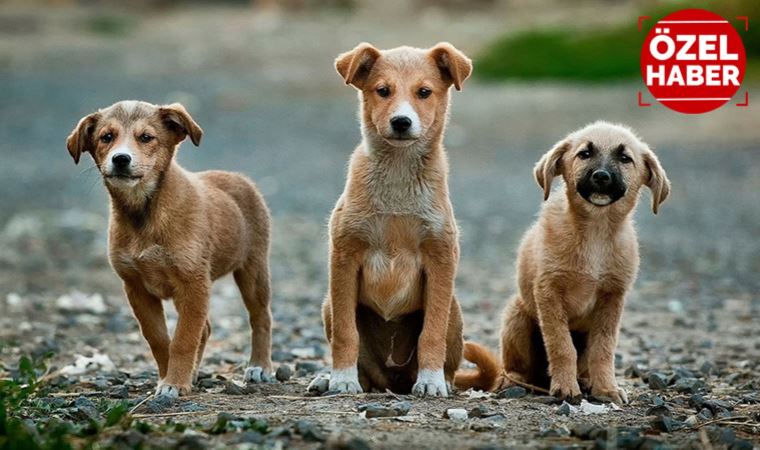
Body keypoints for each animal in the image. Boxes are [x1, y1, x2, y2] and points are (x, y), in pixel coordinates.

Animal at [66, 101, 274, 398]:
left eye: (146, 137)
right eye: (107, 137)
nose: (121, 159)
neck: (145, 213)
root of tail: (238, 177)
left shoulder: (193, 283)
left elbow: (184, 339)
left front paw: (174, 382)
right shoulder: (136, 288)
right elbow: (159, 339)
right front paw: (170, 377)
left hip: (253, 269)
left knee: (261, 317)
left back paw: (259, 366)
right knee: (206, 329)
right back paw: (195, 373)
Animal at [306, 40, 472, 396]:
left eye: (424, 92)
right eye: (383, 90)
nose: (401, 122)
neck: (398, 175)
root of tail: (392, 380)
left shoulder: (441, 258)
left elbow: (431, 333)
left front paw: (431, 381)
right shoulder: (344, 256)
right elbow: (346, 333)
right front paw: (341, 379)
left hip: (454, 309)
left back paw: (440, 380)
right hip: (328, 304)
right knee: (363, 365)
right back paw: (331, 378)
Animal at [454, 120, 668, 404]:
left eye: (625, 158)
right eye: (584, 153)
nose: (601, 176)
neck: (595, 232)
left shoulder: (612, 298)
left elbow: (604, 348)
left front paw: (606, 388)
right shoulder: (549, 292)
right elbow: (561, 345)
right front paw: (566, 387)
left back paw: (586, 381)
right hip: (516, 315)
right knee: (514, 368)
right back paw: (516, 381)